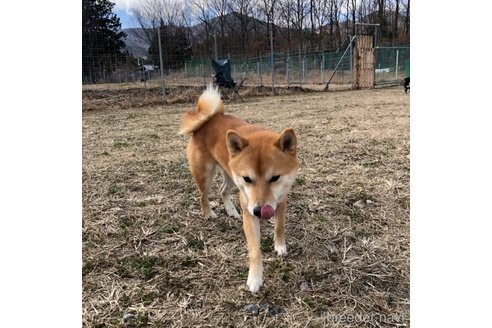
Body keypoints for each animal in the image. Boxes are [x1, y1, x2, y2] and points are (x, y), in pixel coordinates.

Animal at [179, 84, 298, 292]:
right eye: (248, 179)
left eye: (275, 178)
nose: (259, 211)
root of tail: (208, 120)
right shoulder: (248, 210)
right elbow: (255, 250)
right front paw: (255, 278)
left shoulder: (282, 199)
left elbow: (279, 226)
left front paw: (280, 246)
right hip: (206, 173)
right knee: (203, 195)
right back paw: (208, 213)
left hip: (230, 175)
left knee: (222, 191)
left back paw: (231, 211)